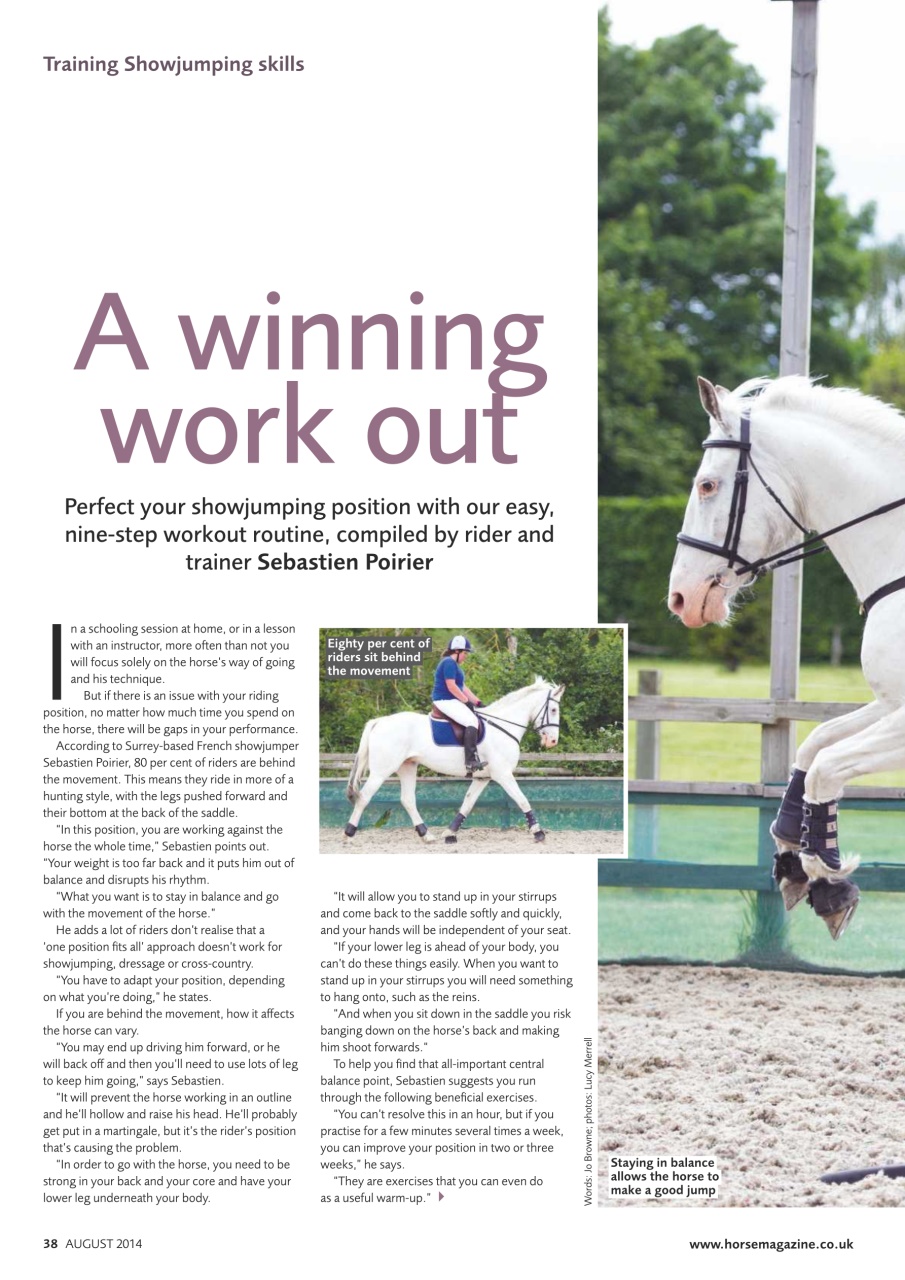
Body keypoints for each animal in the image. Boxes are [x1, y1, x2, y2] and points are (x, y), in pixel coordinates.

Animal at [343, 677, 565, 845]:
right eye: (554, 710)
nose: (552, 741)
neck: (502, 726)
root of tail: (379, 721)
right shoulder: (503, 774)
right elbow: (522, 799)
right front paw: (538, 832)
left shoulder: (483, 778)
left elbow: (467, 804)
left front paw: (450, 833)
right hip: (382, 771)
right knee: (364, 797)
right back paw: (348, 833)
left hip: (407, 767)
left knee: (407, 800)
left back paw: (426, 835)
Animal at [669, 375, 905, 939]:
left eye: (706, 485)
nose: (680, 599)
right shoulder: (890, 703)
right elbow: (814, 747)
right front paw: (793, 853)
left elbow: (826, 767)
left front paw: (828, 875)